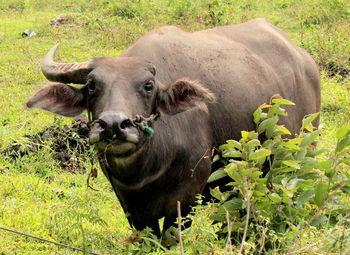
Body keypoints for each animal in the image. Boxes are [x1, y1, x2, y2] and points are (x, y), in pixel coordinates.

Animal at [26, 18, 320, 237]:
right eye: (91, 85)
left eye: (148, 86)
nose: (113, 124)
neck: (145, 169)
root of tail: (306, 62)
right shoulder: (127, 202)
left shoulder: (187, 196)